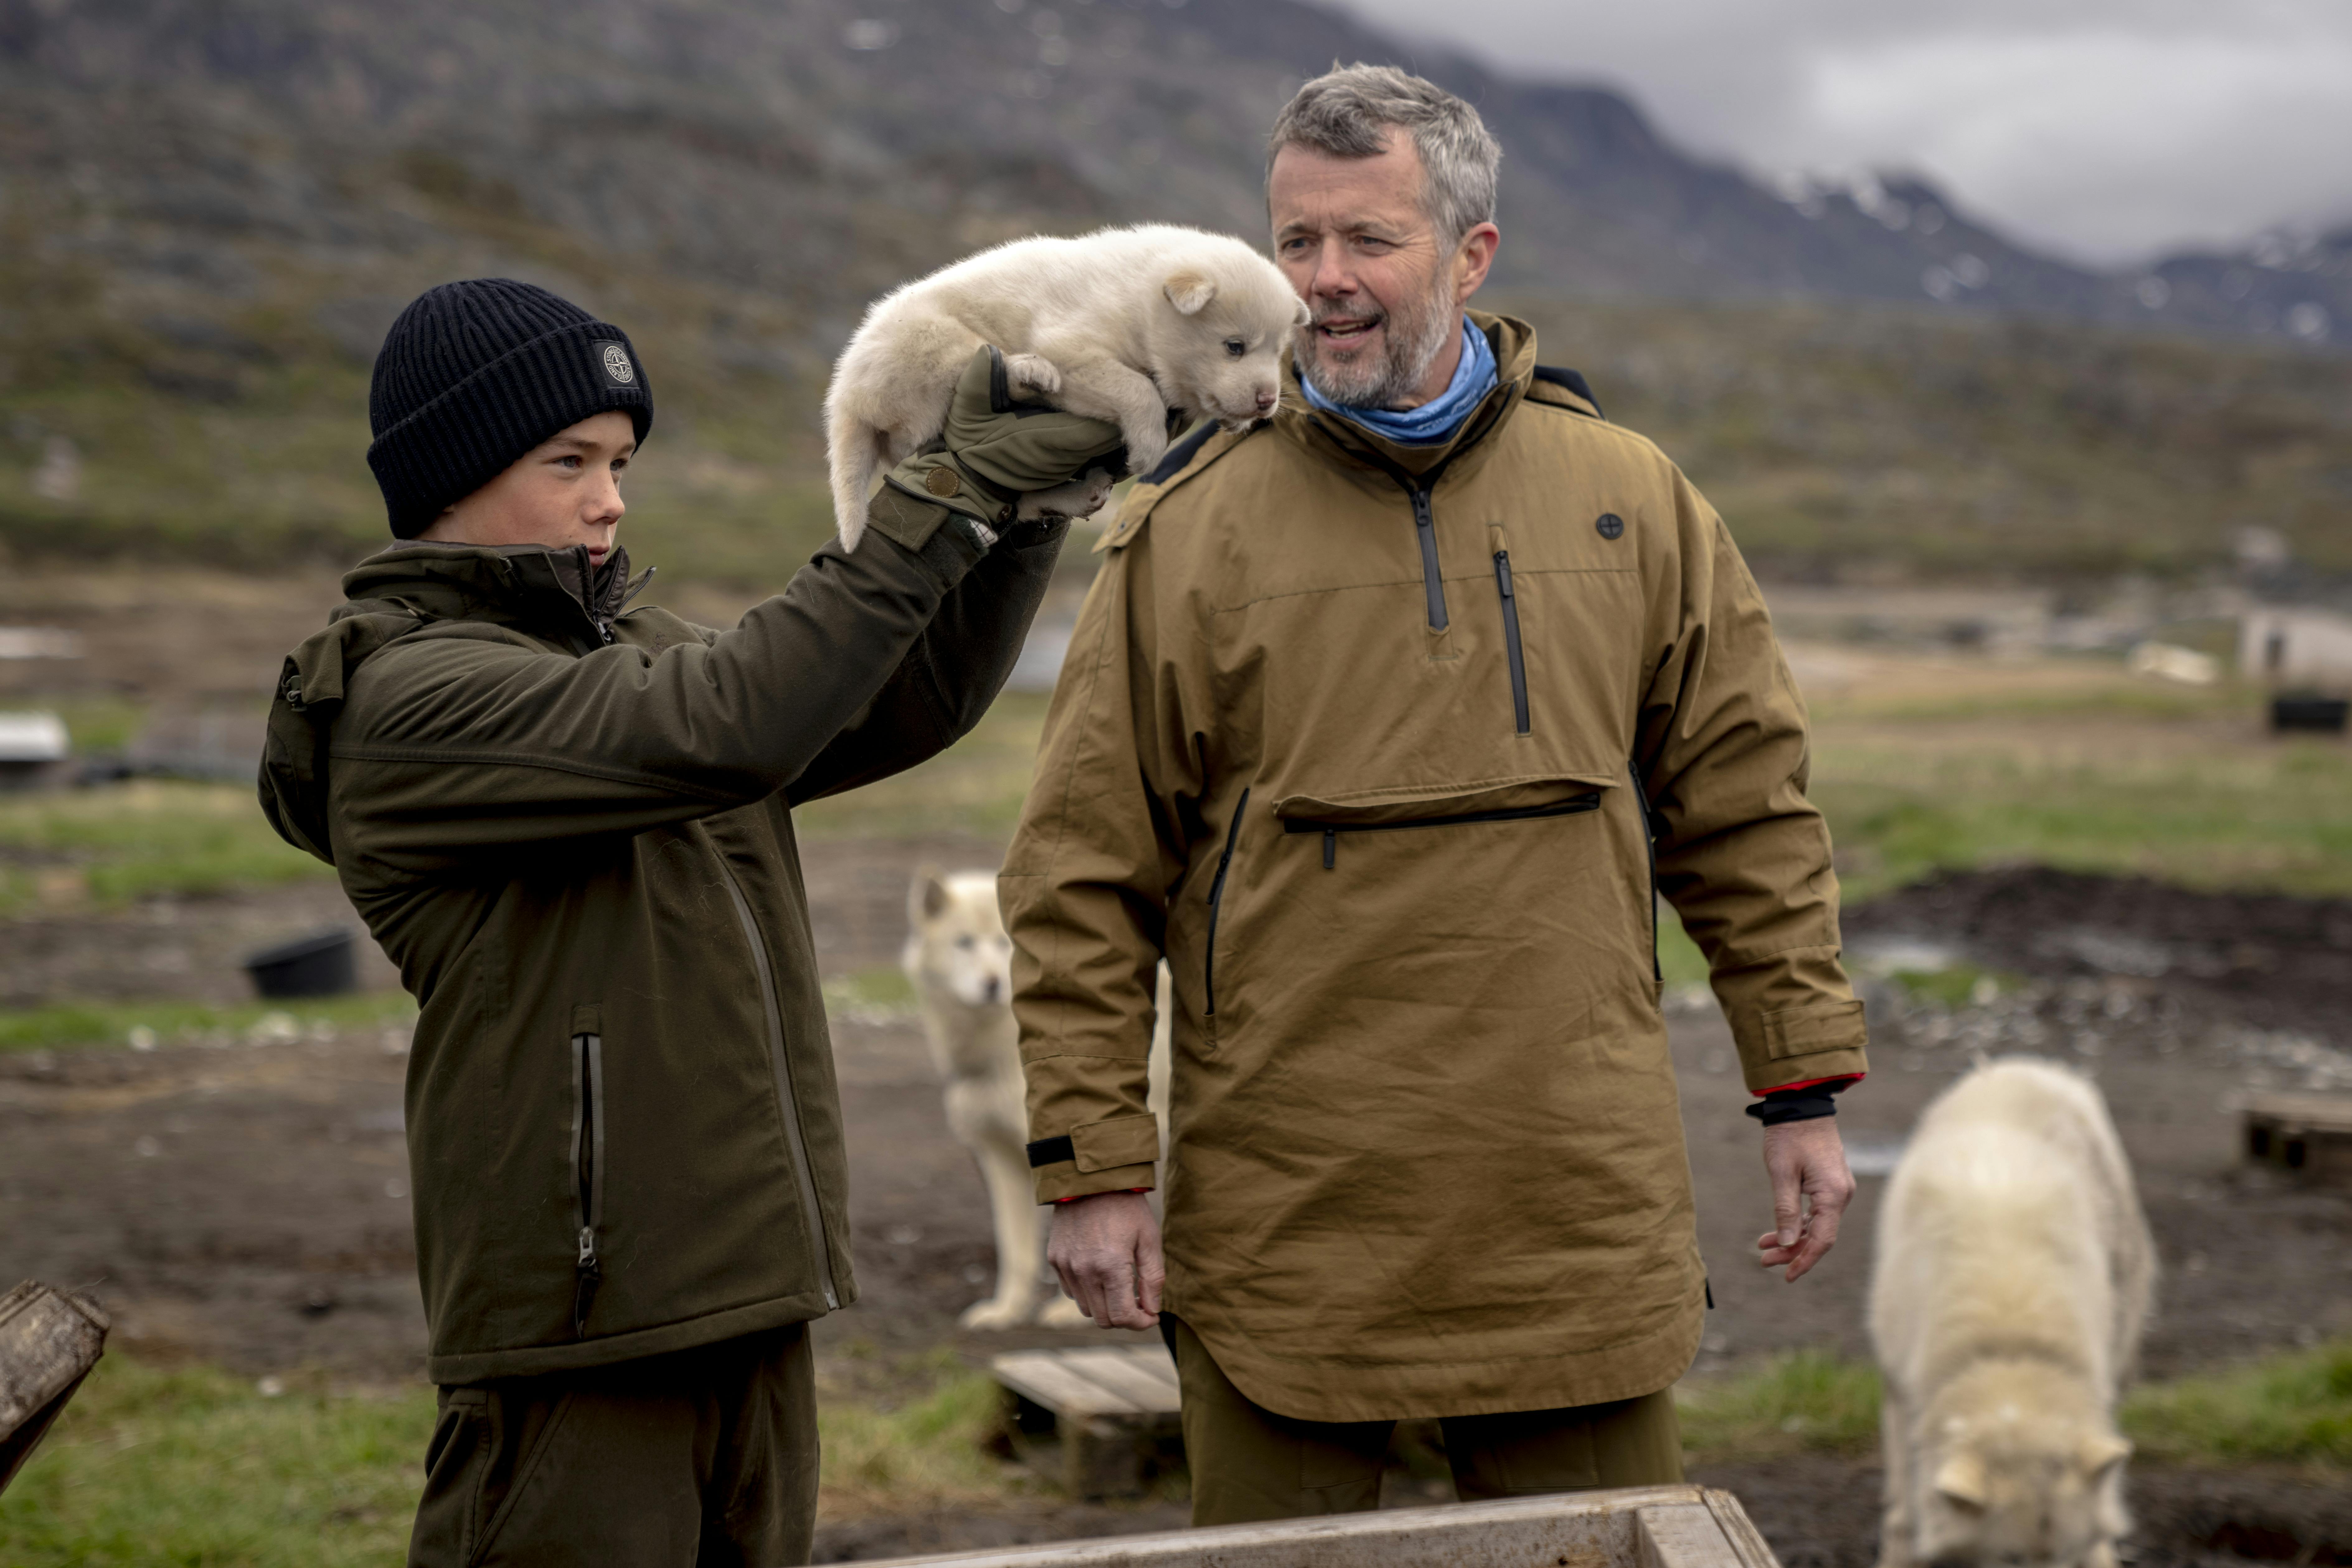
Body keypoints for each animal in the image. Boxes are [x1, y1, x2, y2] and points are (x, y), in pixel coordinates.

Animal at [823, 223, 1308, 555]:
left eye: (1280, 349)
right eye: (1234, 346)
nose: (1267, 401)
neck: (1143, 304)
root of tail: (846, 395)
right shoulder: (1072, 346)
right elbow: (1136, 387)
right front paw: (1149, 447)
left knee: (1019, 502)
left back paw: (1077, 492)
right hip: (933, 344)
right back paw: (1028, 374)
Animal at [903, 865, 1171, 1335]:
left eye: (1004, 943)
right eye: (964, 942)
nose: (993, 984)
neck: (998, 1051)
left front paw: (1069, 1312)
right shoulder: (1001, 1158)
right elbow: (1016, 1249)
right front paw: (1006, 1310)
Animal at [1863, 1053, 2154, 1568]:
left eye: (2066, 1555)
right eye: (2010, 1560)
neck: (2009, 1348)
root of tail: (2025, 1065)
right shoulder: (1901, 1398)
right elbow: (1904, 1512)